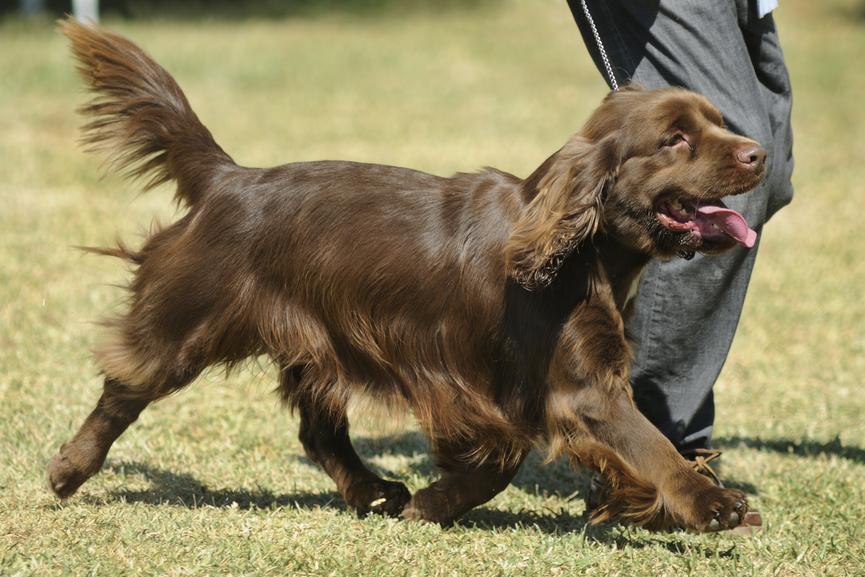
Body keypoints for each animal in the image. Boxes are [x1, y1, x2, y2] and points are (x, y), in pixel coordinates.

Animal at [47, 18, 764, 532]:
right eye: (674, 139)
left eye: (715, 124)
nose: (758, 152)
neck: (581, 253)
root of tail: (228, 178)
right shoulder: (573, 386)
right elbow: (646, 443)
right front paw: (710, 502)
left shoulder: (510, 387)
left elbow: (506, 460)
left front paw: (432, 502)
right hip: (188, 321)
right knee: (124, 387)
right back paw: (67, 470)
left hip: (318, 339)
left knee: (317, 429)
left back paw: (373, 491)